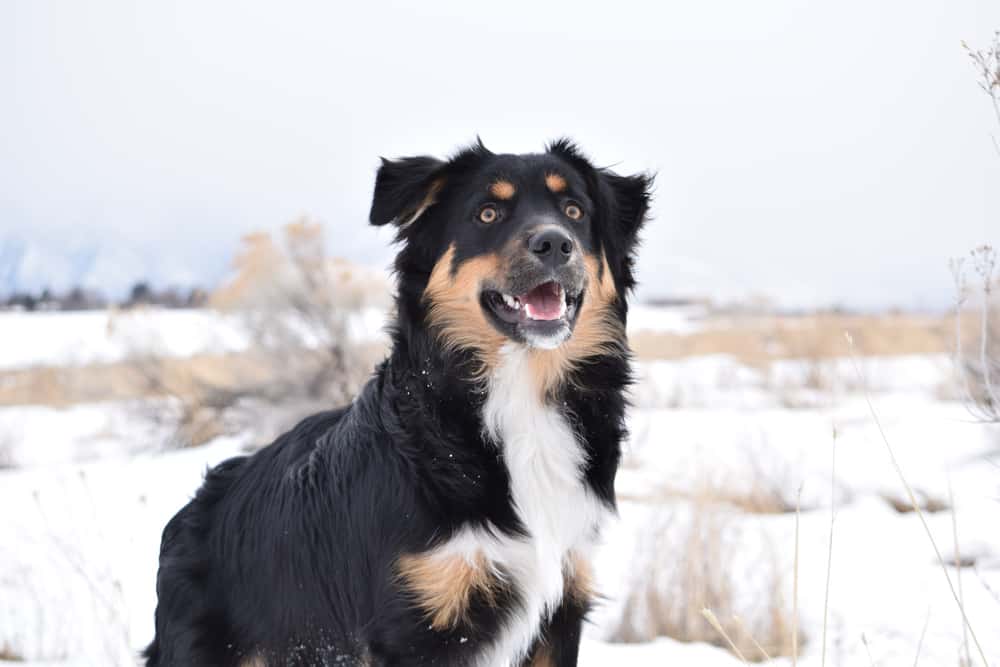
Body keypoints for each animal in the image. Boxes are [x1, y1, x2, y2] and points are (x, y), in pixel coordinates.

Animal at [145, 138, 652, 664]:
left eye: (574, 210)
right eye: (488, 213)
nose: (555, 243)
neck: (519, 394)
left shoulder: (562, 602)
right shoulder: (419, 622)